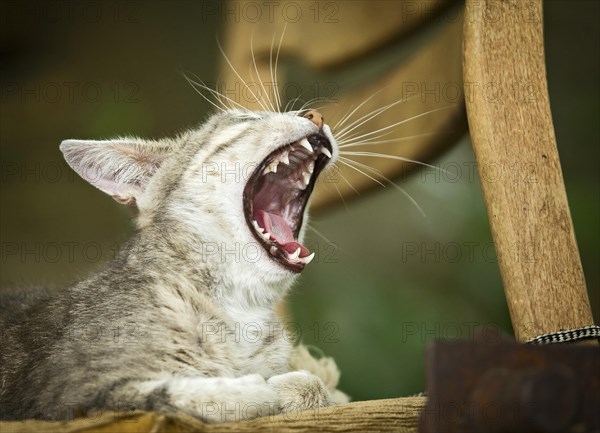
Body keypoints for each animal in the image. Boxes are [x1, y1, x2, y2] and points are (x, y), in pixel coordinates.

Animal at [0, 105, 350, 422]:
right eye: (246, 118)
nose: (315, 114)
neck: (241, 308)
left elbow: (321, 389)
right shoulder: (63, 394)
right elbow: (165, 394)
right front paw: (254, 389)